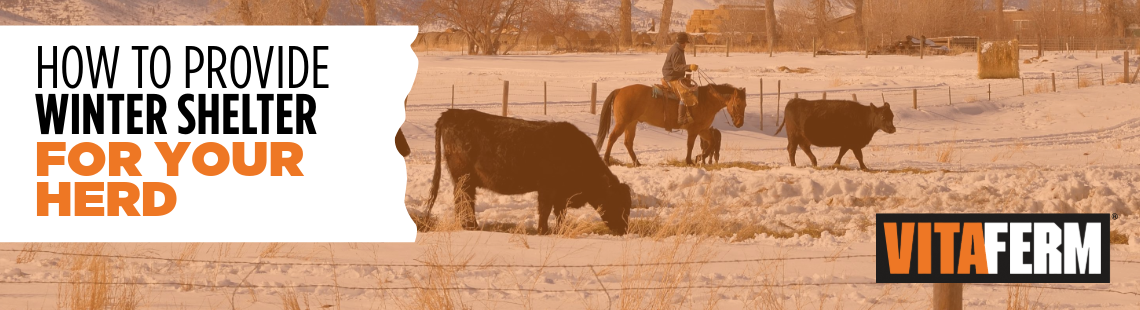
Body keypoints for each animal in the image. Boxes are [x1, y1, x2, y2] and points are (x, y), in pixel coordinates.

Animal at [424, 108, 633, 234]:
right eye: (619, 204)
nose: (624, 230)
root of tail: (452, 113)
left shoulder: (560, 195)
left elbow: (560, 214)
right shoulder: (548, 190)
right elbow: (545, 211)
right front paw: (543, 231)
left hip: (465, 180)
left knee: (464, 201)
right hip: (464, 178)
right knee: (464, 201)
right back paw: (470, 226)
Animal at [597, 83, 747, 166]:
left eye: (745, 105)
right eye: (737, 104)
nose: (739, 123)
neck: (705, 101)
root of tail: (619, 90)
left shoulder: (703, 130)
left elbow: (711, 143)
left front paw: (699, 157)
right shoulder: (694, 130)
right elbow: (690, 145)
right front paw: (689, 160)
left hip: (631, 124)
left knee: (628, 143)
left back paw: (637, 163)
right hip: (622, 123)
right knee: (612, 138)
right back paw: (607, 160)